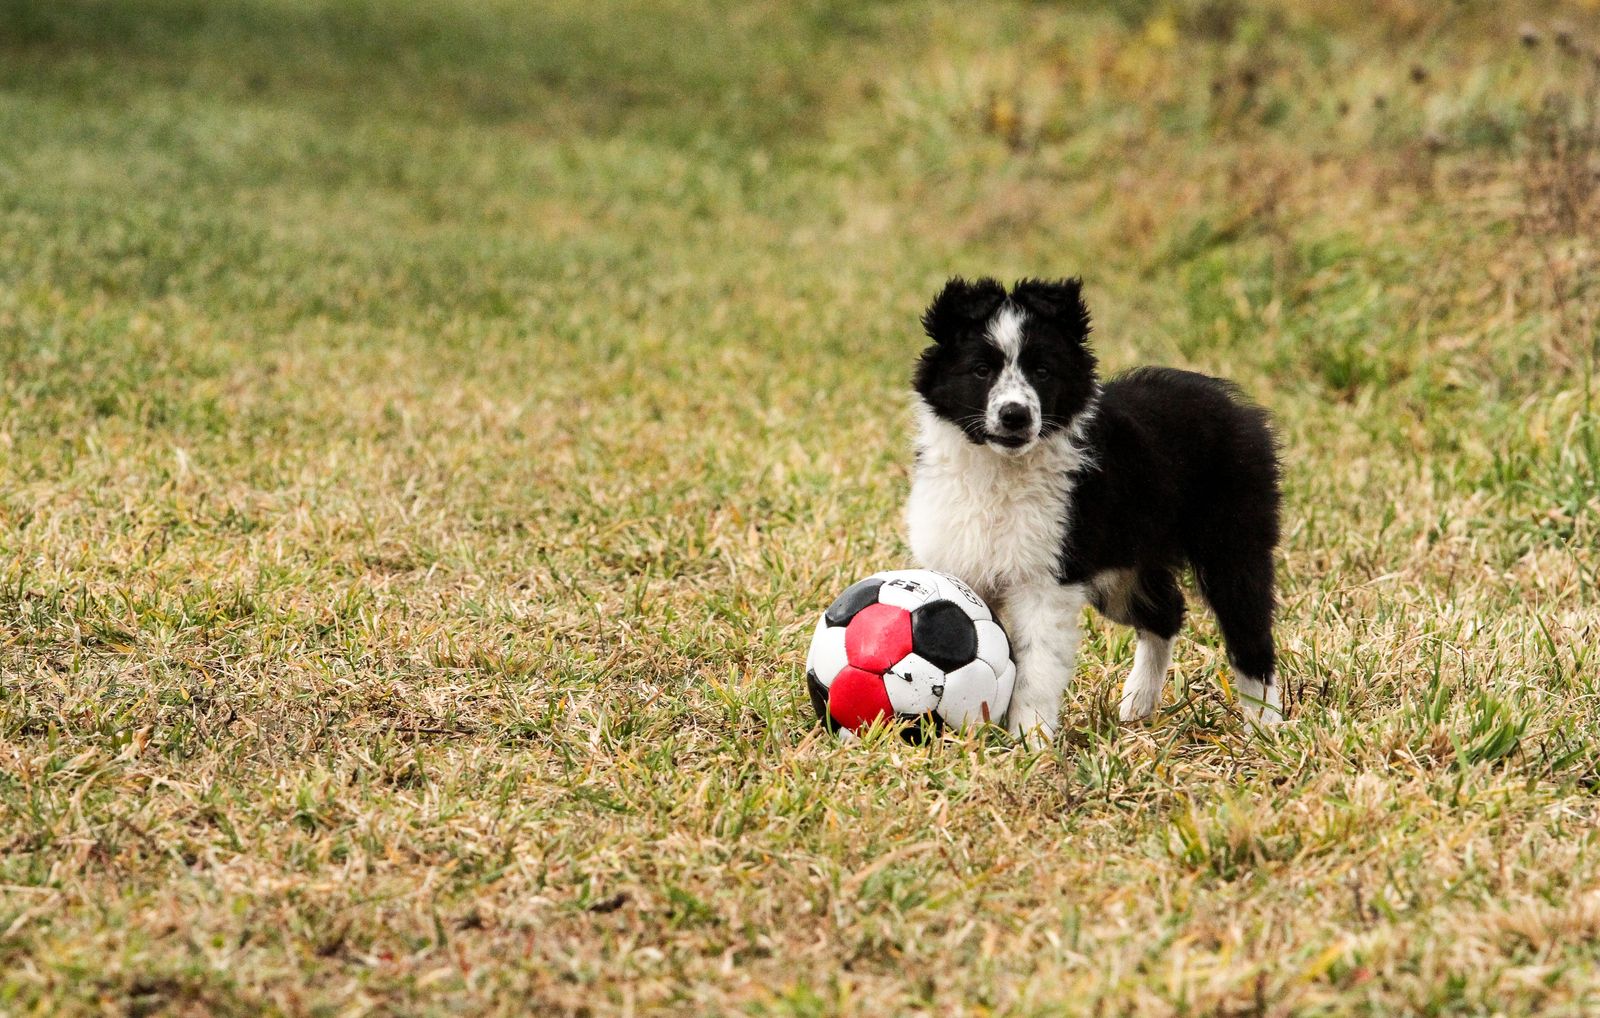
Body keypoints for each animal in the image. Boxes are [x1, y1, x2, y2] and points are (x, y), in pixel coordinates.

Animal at [906, 277, 1283, 740]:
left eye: (1042, 372)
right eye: (981, 370)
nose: (1015, 416)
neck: (1000, 471)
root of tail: (1234, 405)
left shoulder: (1047, 580)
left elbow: (1036, 669)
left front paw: (1030, 740)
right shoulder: (963, 565)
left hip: (1232, 546)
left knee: (1249, 634)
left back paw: (1266, 725)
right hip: (1124, 567)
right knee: (1165, 614)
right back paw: (1137, 706)